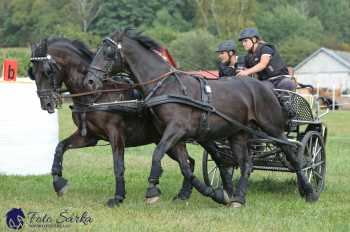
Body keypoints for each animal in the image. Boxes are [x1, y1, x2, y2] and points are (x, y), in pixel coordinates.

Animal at [27, 37, 198, 207]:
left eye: (47, 71)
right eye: (32, 73)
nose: (46, 104)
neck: (96, 94)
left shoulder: (116, 133)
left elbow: (118, 164)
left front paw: (118, 197)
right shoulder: (88, 136)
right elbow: (60, 147)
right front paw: (58, 182)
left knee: (187, 162)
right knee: (189, 161)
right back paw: (184, 194)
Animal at [85, 29, 320, 207]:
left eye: (107, 52)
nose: (90, 82)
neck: (167, 87)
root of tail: (267, 89)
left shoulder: (176, 130)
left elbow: (157, 154)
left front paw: (152, 189)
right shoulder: (177, 137)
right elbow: (186, 167)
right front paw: (214, 193)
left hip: (272, 128)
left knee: (293, 154)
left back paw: (309, 190)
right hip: (238, 133)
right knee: (246, 164)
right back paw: (238, 198)